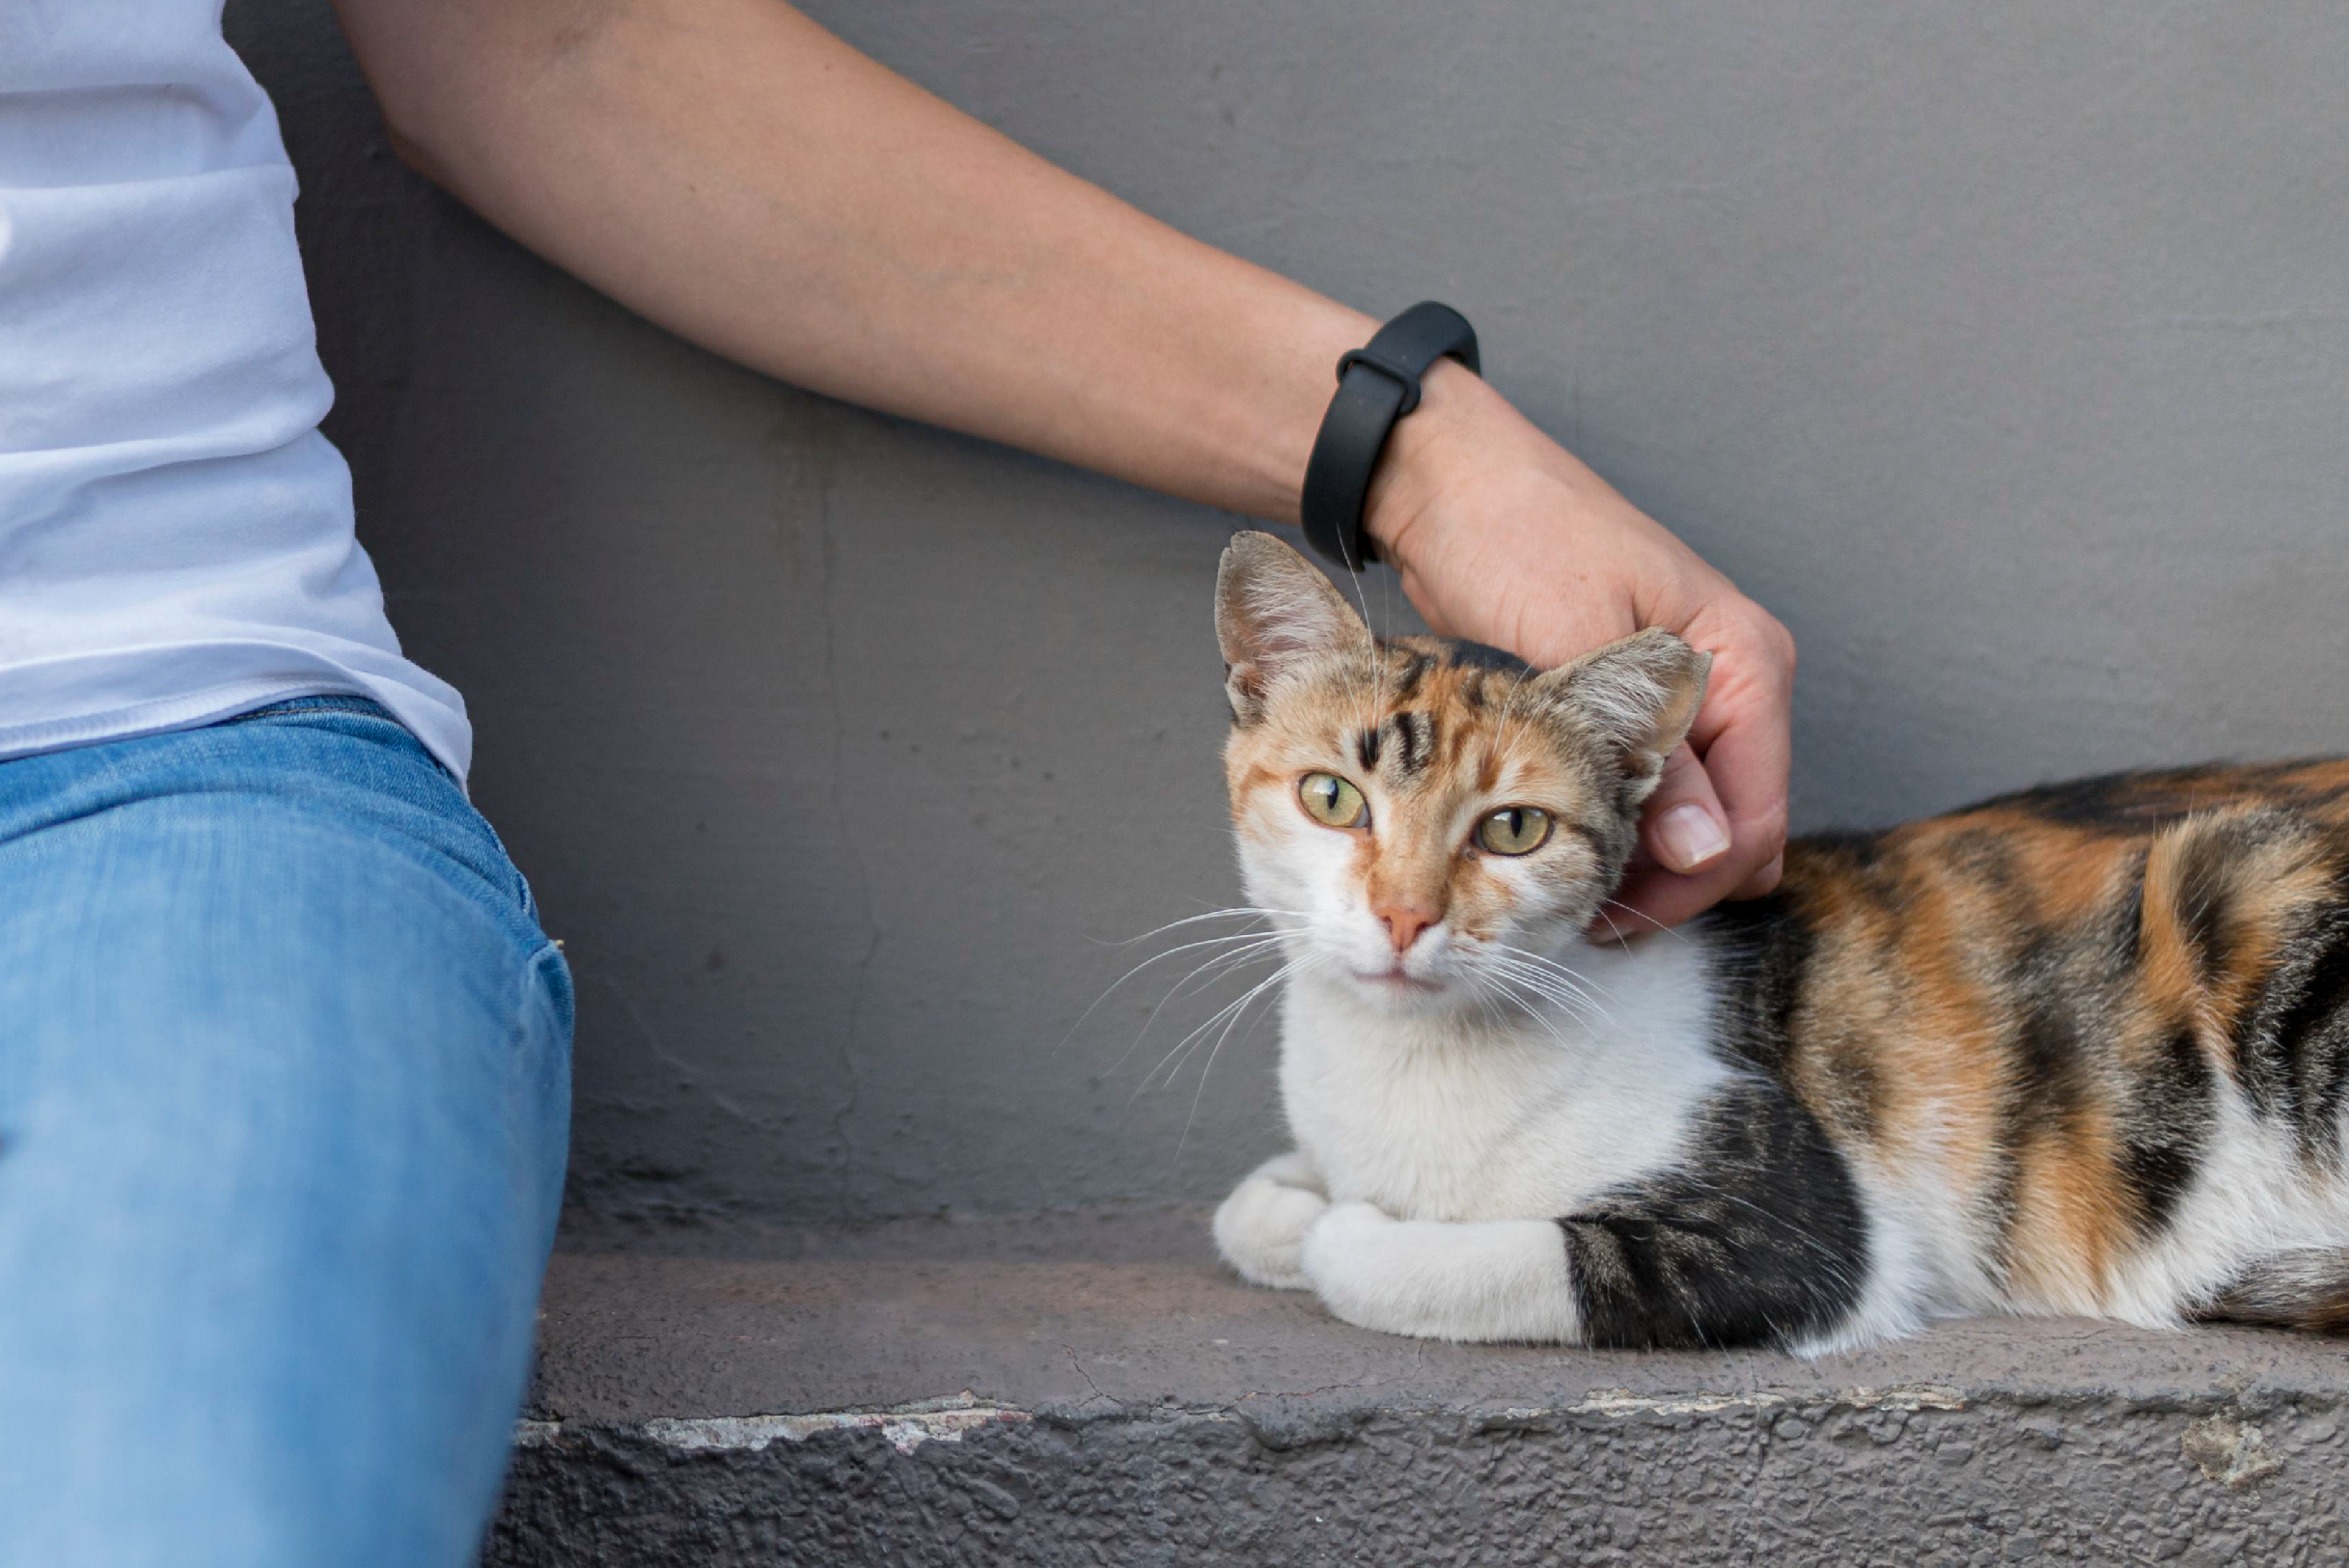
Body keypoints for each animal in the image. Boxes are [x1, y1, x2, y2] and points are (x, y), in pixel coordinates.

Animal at [1211, 525, 2349, 1352]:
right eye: (1331, 796)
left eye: (1514, 827)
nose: (1406, 914)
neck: (1399, 1063)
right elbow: (1247, 1209)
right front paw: (1287, 1203)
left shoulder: (1790, 1232)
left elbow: (1452, 1262)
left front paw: (1344, 1226)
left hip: (2246, 885)